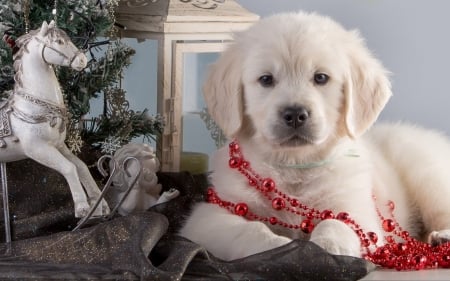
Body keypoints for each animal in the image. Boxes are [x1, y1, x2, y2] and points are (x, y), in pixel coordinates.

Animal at [178, 10, 450, 260]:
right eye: (266, 79)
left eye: (321, 78)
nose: (295, 114)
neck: (294, 167)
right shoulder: (207, 217)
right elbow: (251, 230)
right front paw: (281, 249)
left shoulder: (359, 212)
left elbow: (335, 222)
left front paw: (326, 248)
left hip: (426, 174)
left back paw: (441, 236)